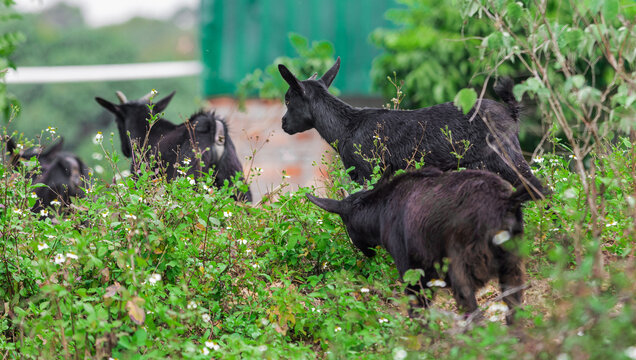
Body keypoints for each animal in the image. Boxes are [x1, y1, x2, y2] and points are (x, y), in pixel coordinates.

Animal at [95, 90, 252, 202]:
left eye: (117, 120)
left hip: (190, 177)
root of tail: (216, 131)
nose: (125, 150)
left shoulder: (139, 177)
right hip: (235, 179)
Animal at [306, 168, 536, 324]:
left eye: (346, 223)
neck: (379, 215)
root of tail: (507, 201)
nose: (366, 253)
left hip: (461, 270)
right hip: (513, 267)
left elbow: (419, 316)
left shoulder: (412, 272)